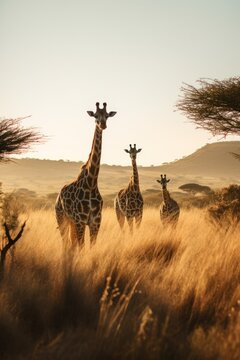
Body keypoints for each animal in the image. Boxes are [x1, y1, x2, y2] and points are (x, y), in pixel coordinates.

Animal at [55, 102, 117, 246]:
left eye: (107, 115)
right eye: (95, 115)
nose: (102, 125)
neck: (91, 183)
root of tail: (58, 196)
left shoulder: (96, 221)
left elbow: (91, 246)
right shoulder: (81, 220)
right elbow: (81, 247)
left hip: (71, 222)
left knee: (71, 244)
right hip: (62, 218)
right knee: (66, 243)